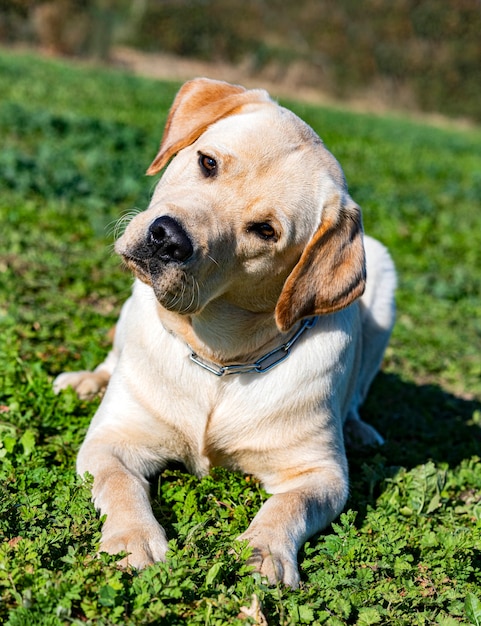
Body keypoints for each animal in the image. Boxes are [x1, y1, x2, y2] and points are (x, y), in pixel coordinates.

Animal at [54, 77, 396, 584]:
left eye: (265, 230)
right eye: (207, 162)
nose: (167, 238)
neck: (218, 357)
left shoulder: (322, 474)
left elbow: (289, 506)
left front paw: (265, 551)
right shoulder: (112, 441)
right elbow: (119, 484)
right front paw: (134, 540)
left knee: (356, 396)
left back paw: (359, 429)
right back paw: (85, 381)